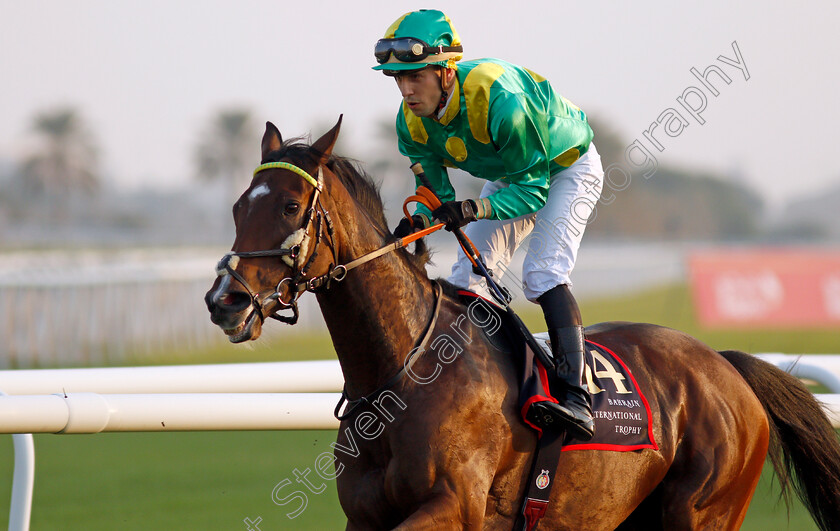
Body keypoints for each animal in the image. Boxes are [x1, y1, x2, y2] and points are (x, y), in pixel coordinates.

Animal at [205, 118, 840, 528]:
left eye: (290, 206)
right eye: (237, 207)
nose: (224, 300)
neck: (402, 372)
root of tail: (725, 366)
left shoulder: (454, 506)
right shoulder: (364, 517)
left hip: (704, 510)